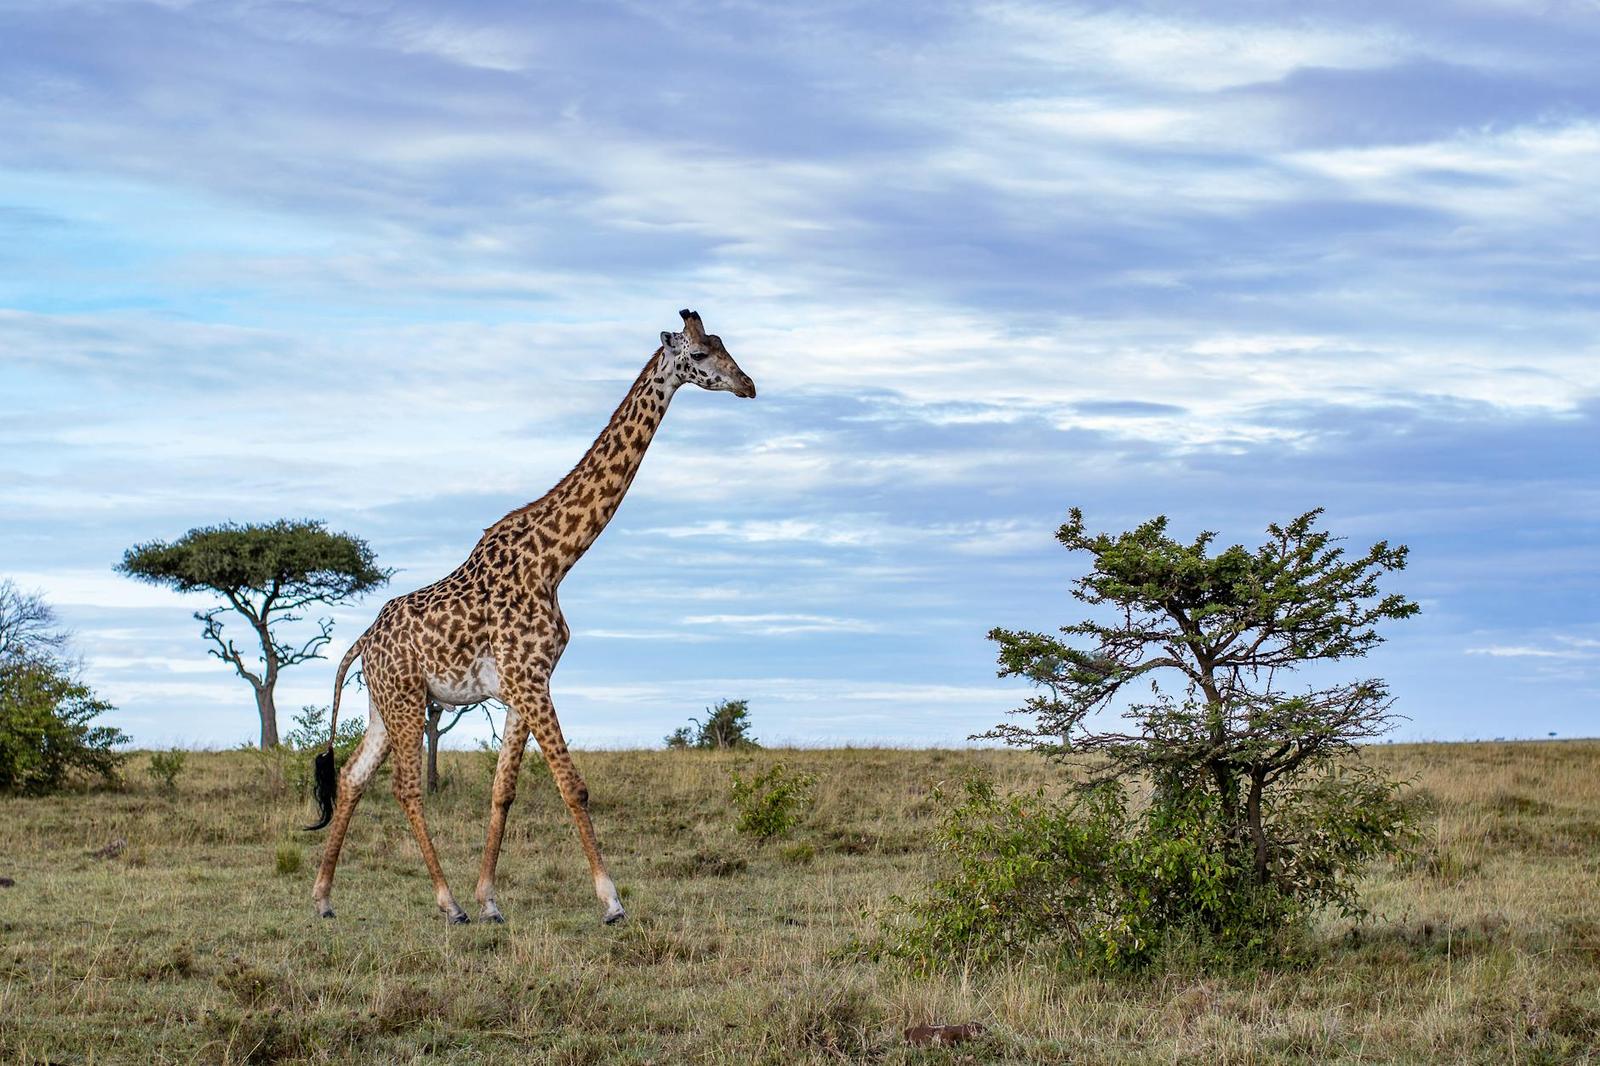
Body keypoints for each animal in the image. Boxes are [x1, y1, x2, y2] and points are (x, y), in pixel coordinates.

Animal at [307, 309, 755, 925]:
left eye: (723, 343)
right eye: (704, 354)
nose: (748, 385)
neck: (554, 561)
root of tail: (362, 641)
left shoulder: (526, 684)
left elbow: (505, 790)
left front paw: (491, 899)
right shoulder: (528, 679)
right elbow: (574, 786)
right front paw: (611, 900)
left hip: (387, 702)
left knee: (352, 777)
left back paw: (324, 897)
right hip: (403, 701)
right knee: (405, 787)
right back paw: (446, 903)